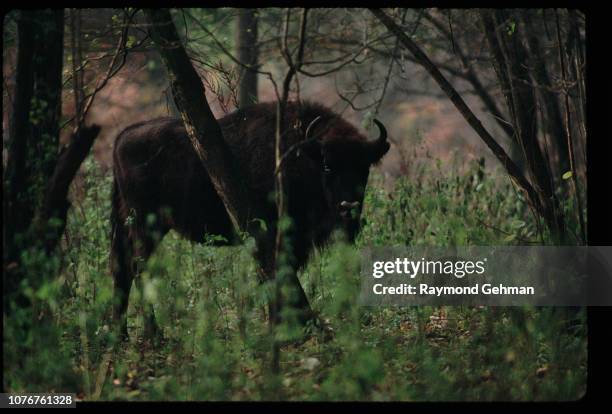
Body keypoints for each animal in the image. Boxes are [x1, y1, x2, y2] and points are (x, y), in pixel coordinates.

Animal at [109, 101, 388, 340]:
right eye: (328, 167)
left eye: (364, 167)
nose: (348, 208)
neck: (302, 156)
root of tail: (124, 136)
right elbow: (277, 272)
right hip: (147, 225)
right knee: (138, 268)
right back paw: (153, 335)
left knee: (121, 268)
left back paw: (120, 335)